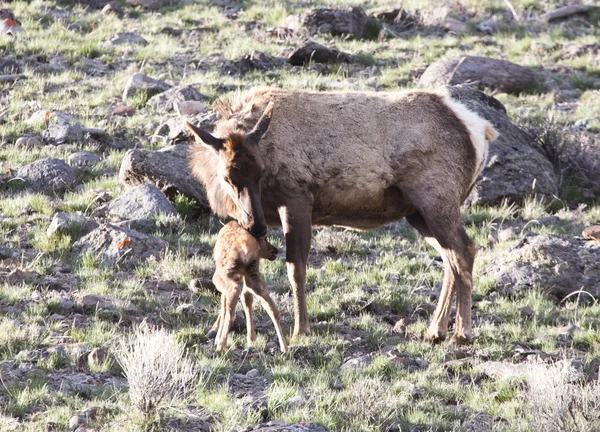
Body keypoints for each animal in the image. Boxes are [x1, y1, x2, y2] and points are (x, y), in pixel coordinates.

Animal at [212, 221, 288, 352]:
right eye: (265, 238)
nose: (275, 250)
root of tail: (244, 247)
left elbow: (224, 304)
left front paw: (216, 335)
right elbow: (246, 300)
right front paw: (251, 338)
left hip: (226, 276)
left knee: (231, 307)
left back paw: (221, 344)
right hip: (254, 274)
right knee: (271, 308)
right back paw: (284, 347)